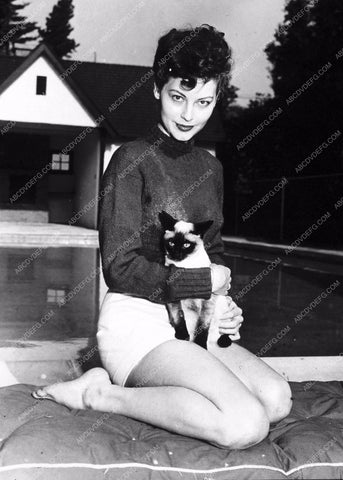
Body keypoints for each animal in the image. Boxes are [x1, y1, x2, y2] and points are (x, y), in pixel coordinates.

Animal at [160, 210, 232, 348]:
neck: (185, 266)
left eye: (186, 245)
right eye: (171, 243)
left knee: (224, 331)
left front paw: (201, 346)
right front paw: (182, 336)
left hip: (222, 307)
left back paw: (221, 341)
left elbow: (203, 326)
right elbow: (178, 317)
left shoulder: (208, 302)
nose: (176, 254)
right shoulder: (173, 296)